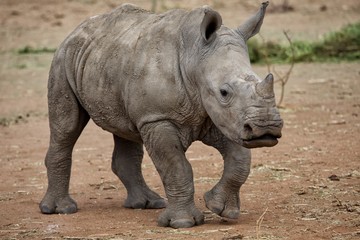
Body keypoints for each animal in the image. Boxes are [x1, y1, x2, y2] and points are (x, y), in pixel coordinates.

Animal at [40, 1, 284, 229]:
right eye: (224, 92)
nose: (266, 128)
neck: (194, 56)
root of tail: (77, 29)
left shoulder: (222, 117)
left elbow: (240, 160)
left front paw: (221, 208)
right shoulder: (157, 118)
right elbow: (176, 166)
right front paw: (182, 223)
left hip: (107, 61)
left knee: (125, 130)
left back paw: (147, 203)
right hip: (63, 59)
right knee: (67, 127)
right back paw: (60, 210)